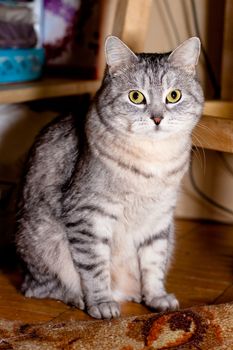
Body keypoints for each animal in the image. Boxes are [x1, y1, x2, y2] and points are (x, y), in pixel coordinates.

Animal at [15, 36, 204, 320]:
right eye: (136, 96)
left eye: (174, 96)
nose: (157, 118)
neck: (153, 160)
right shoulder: (89, 215)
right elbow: (95, 268)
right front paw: (102, 302)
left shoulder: (159, 218)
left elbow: (154, 263)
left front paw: (156, 297)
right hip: (44, 241)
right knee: (40, 288)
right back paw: (80, 298)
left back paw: (134, 293)